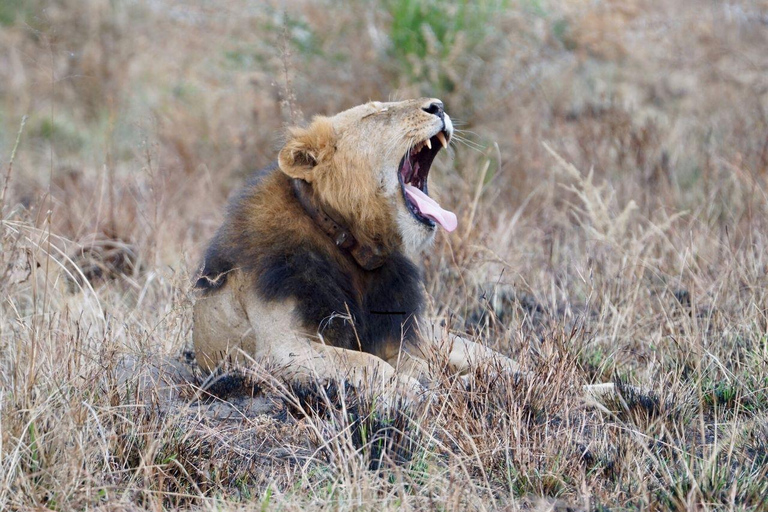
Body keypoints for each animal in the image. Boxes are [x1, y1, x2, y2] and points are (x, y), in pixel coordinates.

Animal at [192, 99, 616, 404]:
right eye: (376, 113)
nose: (439, 106)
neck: (355, 250)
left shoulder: (402, 339)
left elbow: (399, 364)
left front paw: (439, 387)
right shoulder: (280, 349)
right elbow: (364, 363)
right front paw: (420, 391)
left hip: (447, 339)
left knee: (518, 371)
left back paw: (606, 393)